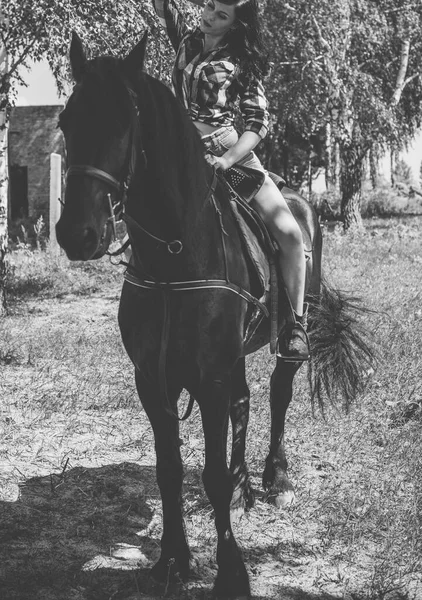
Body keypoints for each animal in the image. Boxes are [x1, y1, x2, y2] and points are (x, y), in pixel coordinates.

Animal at [55, 31, 372, 600]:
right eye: (67, 120)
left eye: (124, 121)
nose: (77, 233)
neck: (175, 254)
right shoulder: (155, 380)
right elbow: (171, 469)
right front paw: (172, 561)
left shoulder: (209, 379)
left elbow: (211, 474)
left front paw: (230, 572)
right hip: (231, 357)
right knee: (245, 405)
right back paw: (246, 484)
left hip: (286, 337)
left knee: (279, 395)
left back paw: (274, 479)